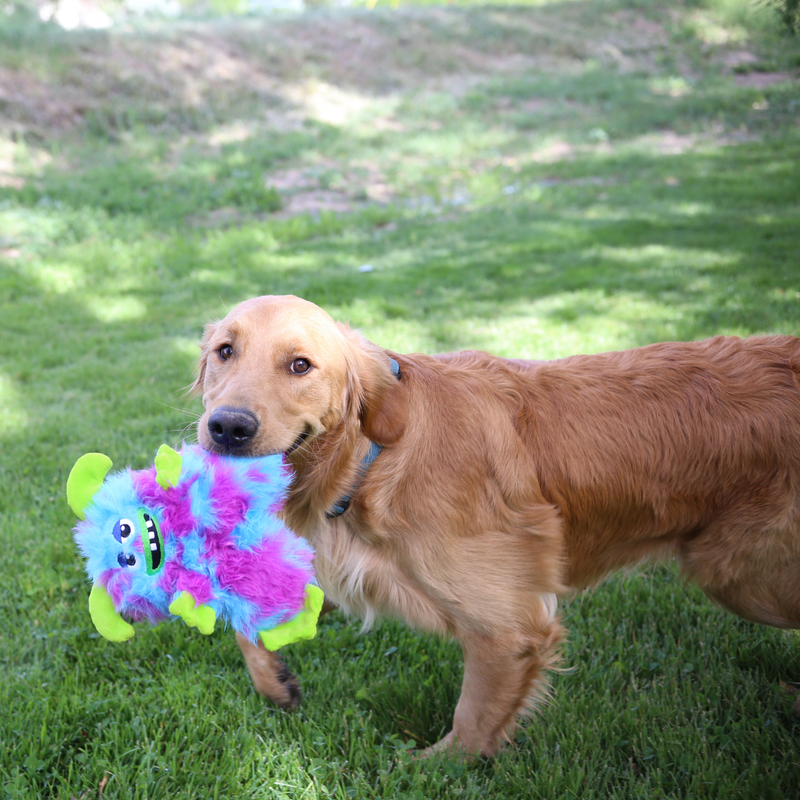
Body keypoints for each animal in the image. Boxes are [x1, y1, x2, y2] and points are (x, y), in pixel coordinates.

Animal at [192, 296, 800, 760]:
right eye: (226, 351)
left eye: (300, 365)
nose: (227, 427)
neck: (376, 456)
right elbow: (242, 615)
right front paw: (276, 682)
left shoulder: (508, 629)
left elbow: (472, 720)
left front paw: (426, 769)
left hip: (741, 577)